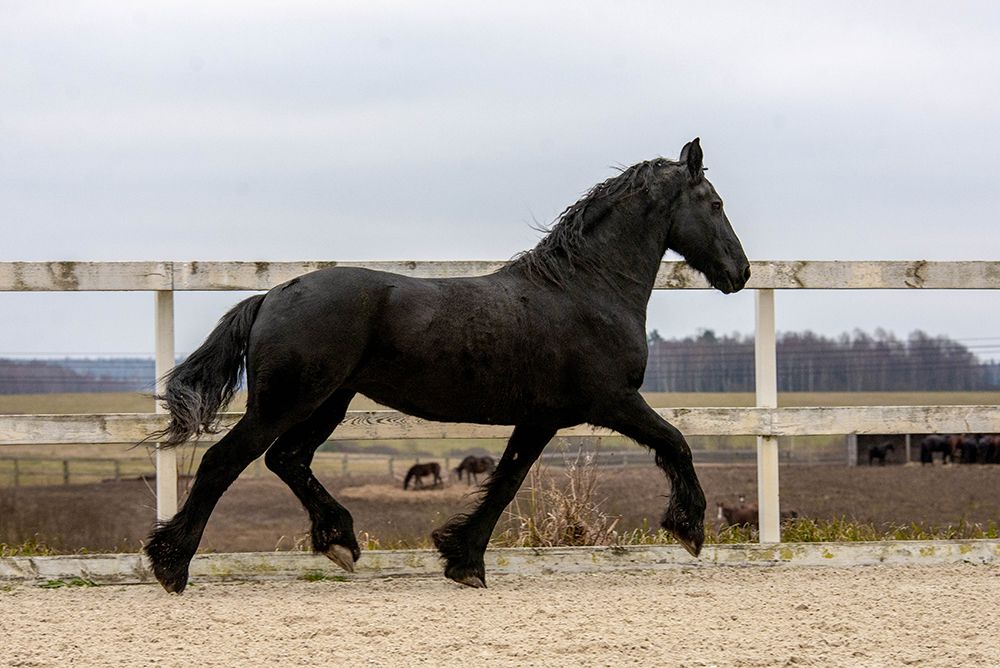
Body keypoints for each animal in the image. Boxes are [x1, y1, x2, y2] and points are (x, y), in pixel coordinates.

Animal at [143, 140, 752, 588]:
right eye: (716, 204)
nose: (740, 272)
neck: (585, 290)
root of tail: (270, 295)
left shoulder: (541, 418)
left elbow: (506, 480)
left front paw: (462, 559)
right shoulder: (612, 400)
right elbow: (676, 442)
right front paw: (689, 529)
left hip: (328, 402)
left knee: (286, 460)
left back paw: (339, 541)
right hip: (286, 402)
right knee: (225, 461)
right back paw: (171, 565)